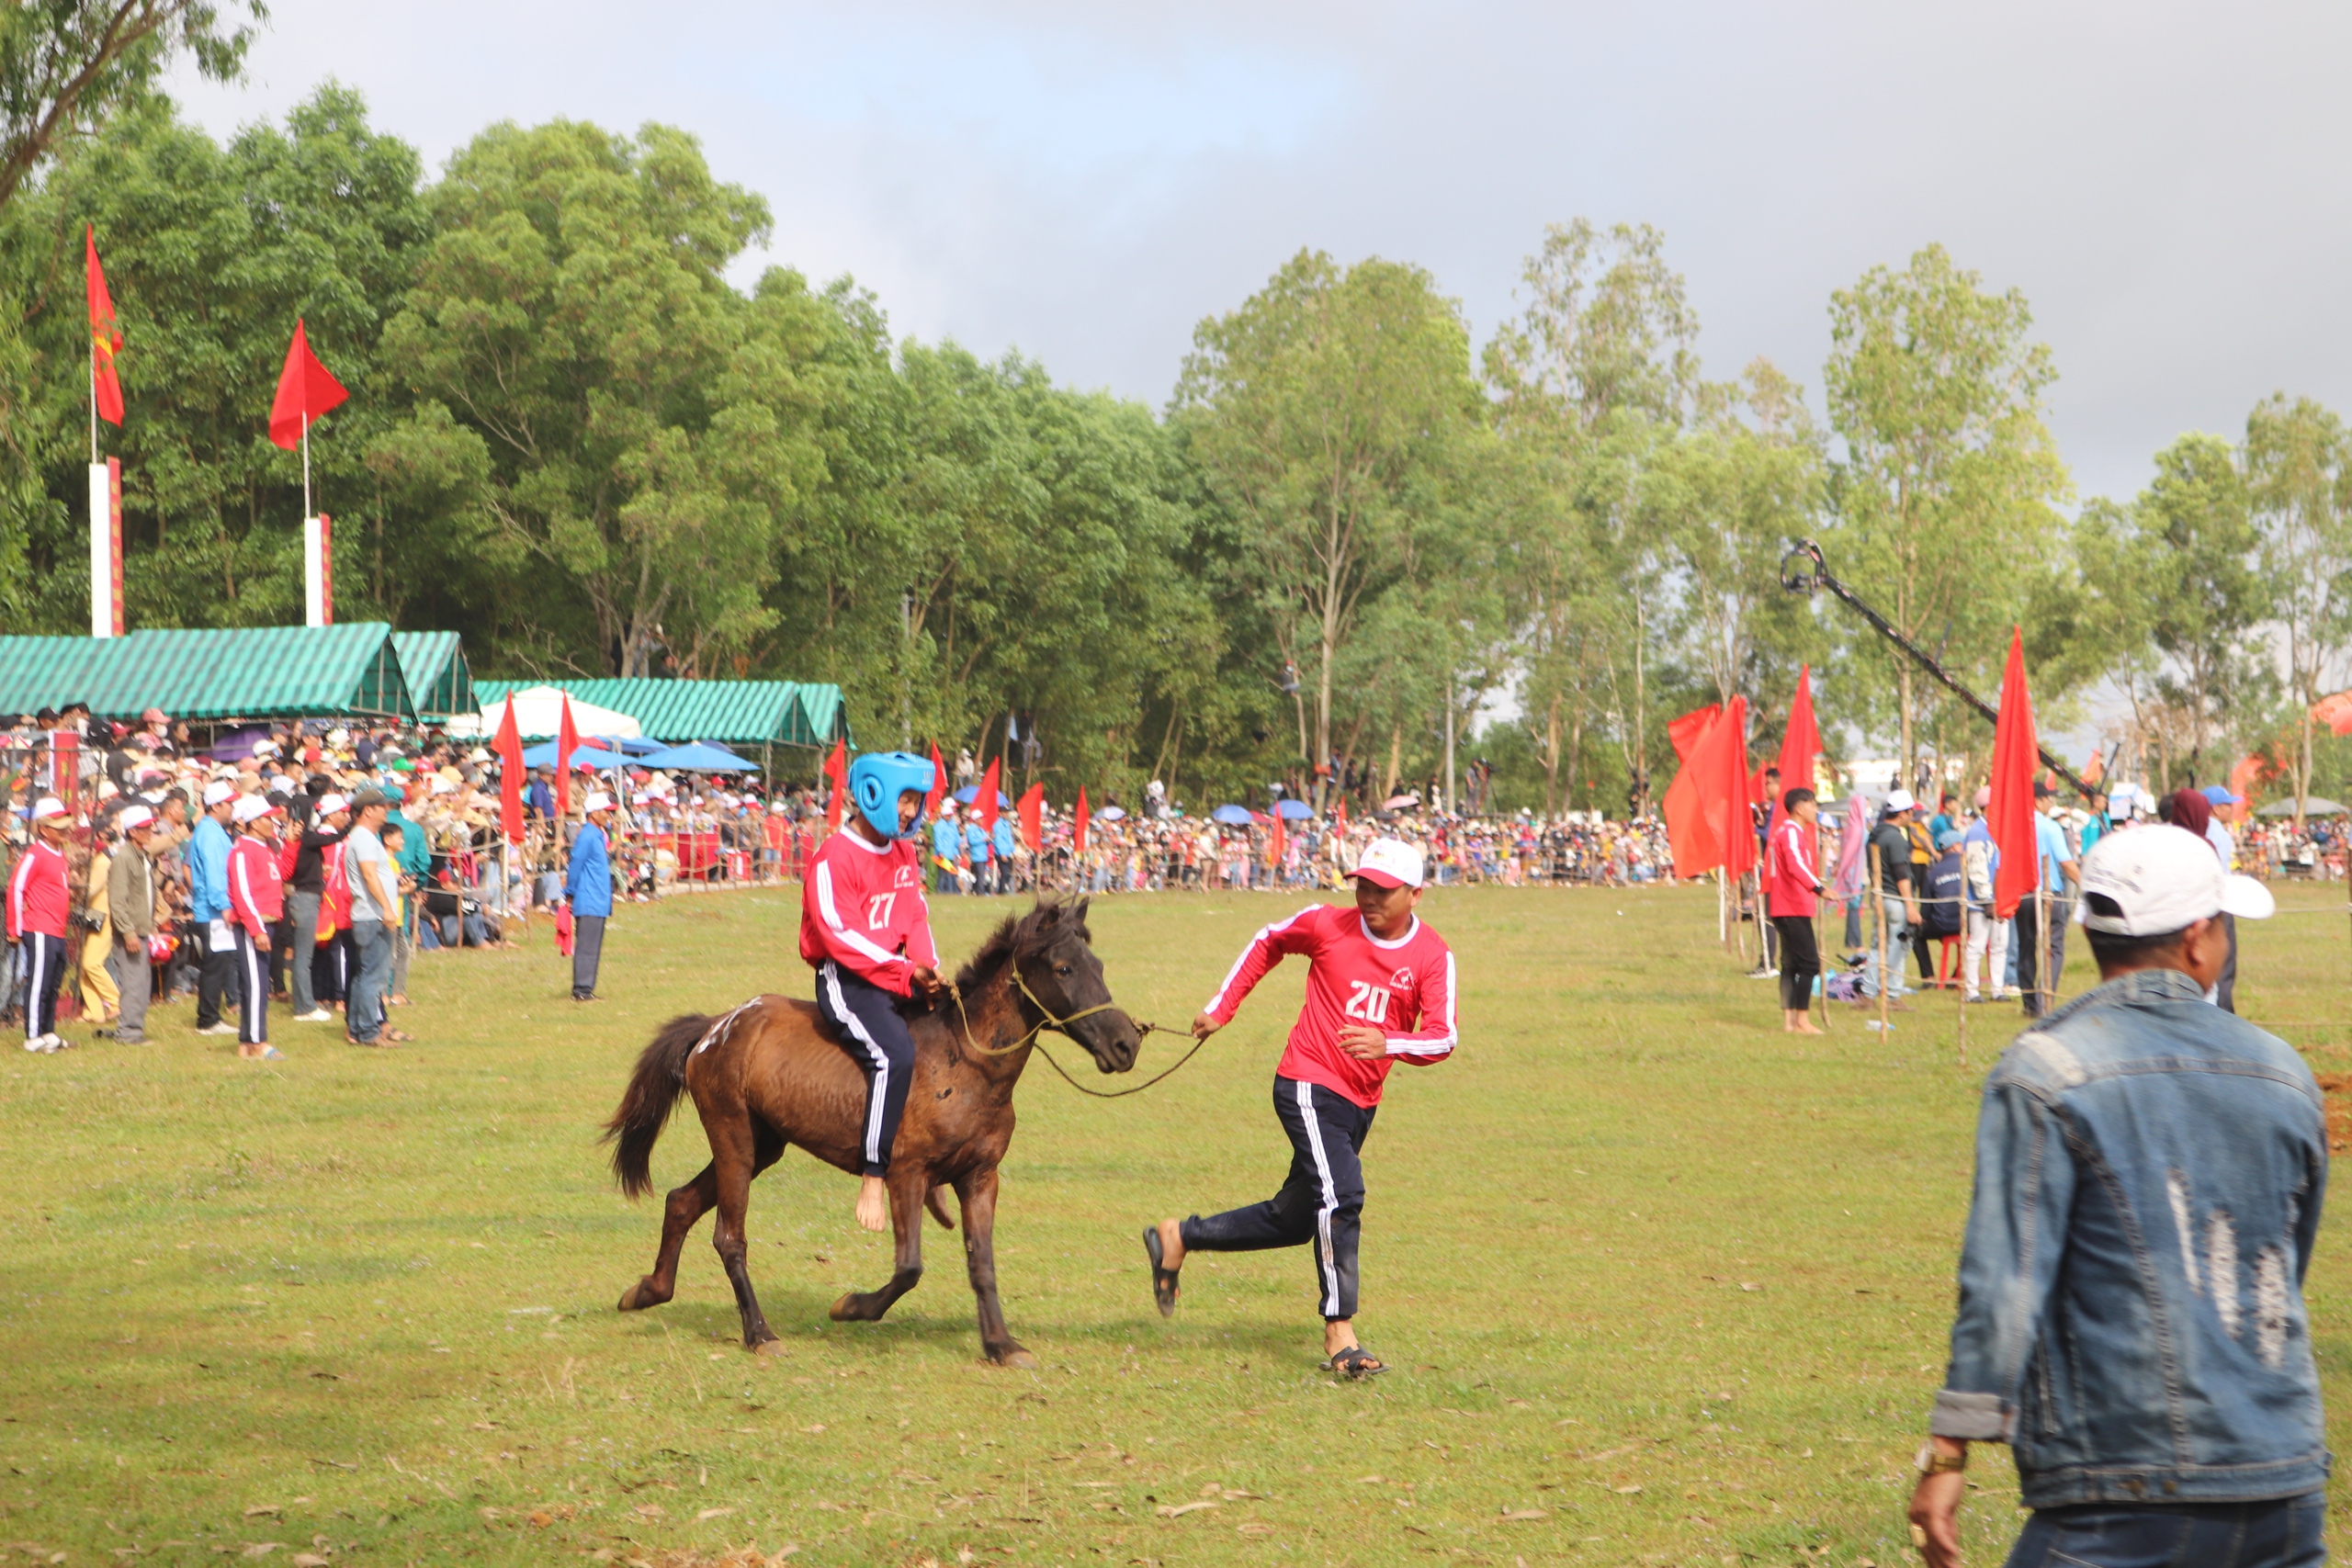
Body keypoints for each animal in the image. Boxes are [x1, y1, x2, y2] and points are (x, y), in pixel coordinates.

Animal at [597, 902, 1128, 1363]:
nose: (1126, 1042)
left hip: (763, 1145)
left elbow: (982, 1264)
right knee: (729, 1237)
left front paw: (1000, 1343)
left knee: (681, 1202)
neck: (966, 1062)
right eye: (1063, 968)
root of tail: (716, 1027)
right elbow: (909, 1267)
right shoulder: (907, 1174)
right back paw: (759, 1333)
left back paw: (648, 1291)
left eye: (1099, 965)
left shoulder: (980, 1177)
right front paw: (852, 1306)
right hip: (734, 1141)